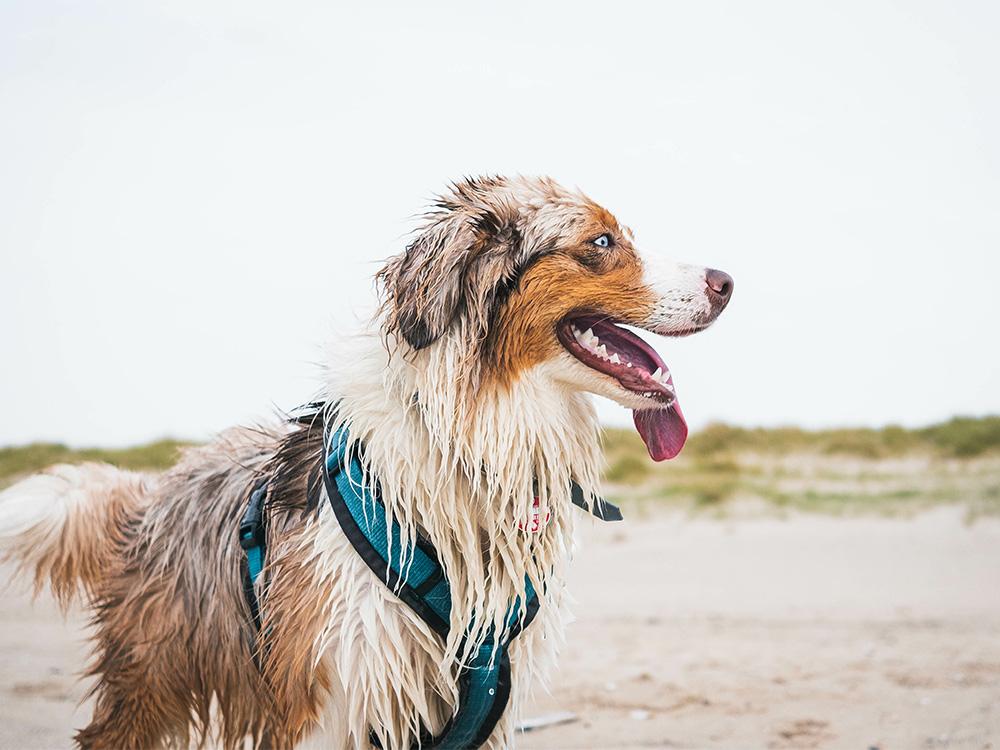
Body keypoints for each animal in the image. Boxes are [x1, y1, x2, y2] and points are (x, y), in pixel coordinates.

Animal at [0, 173, 736, 748]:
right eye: (601, 244)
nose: (728, 281)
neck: (470, 434)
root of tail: (156, 490)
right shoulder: (333, 687)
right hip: (152, 681)